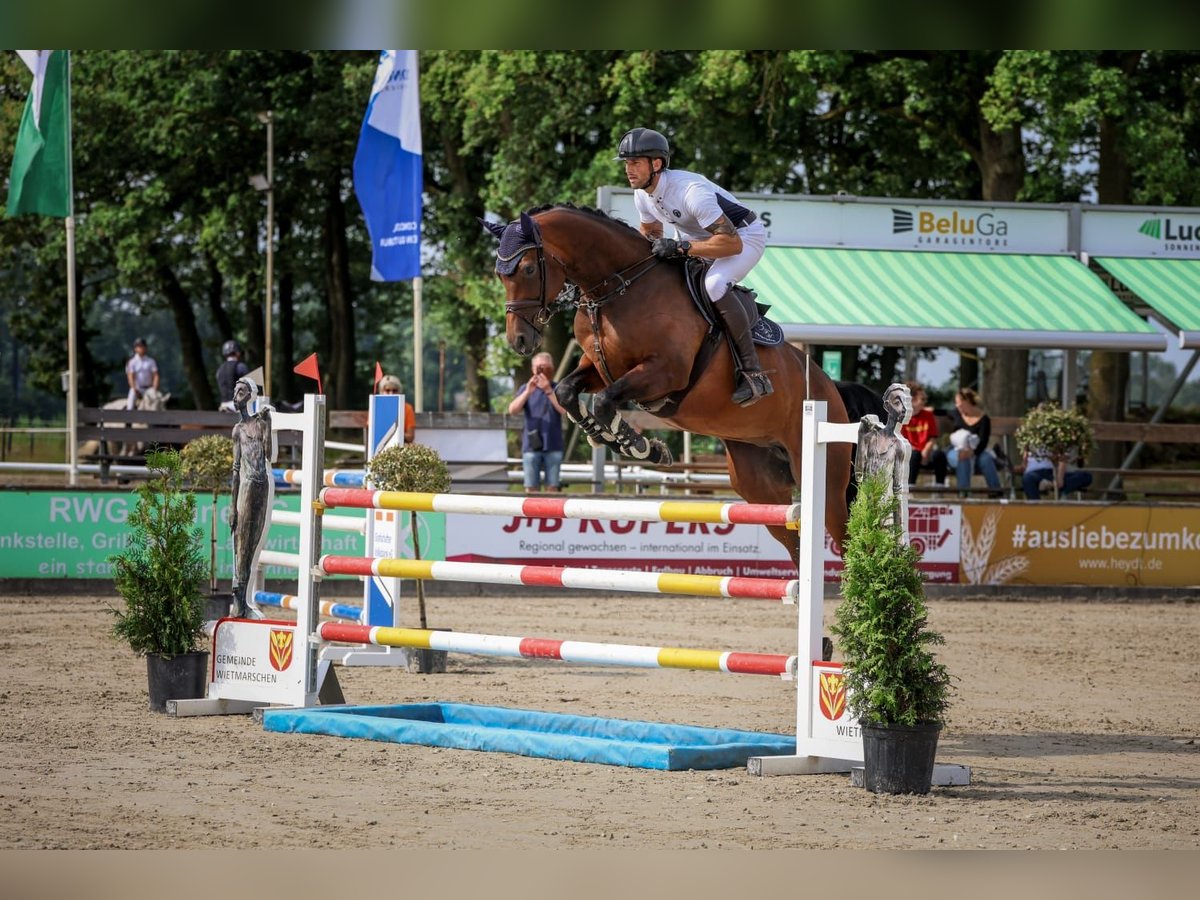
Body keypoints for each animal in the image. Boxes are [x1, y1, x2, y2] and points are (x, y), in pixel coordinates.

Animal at [482, 205, 859, 561]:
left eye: (528, 269)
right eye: (499, 275)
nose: (518, 341)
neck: (617, 289)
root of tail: (829, 388)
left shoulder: (665, 372)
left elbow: (604, 401)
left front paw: (639, 446)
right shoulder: (599, 368)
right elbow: (566, 391)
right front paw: (609, 436)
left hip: (824, 478)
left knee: (844, 538)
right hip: (758, 485)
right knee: (794, 544)